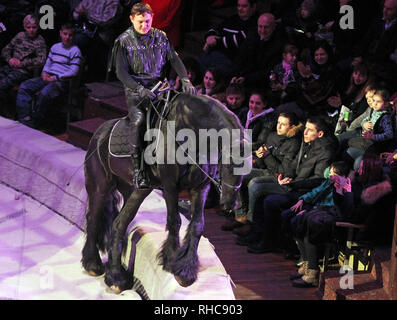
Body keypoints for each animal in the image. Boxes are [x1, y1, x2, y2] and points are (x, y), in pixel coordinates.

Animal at [80, 92, 251, 292]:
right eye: (230, 165)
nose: (230, 204)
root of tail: (100, 132)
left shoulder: (200, 188)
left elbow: (197, 225)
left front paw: (185, 270)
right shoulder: (170, 185)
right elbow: (175, 221)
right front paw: (170, 259)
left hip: (134, 190)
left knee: (118, 223)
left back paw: (116, 276)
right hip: (100, 186)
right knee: (94, 218)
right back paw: (94, 265)